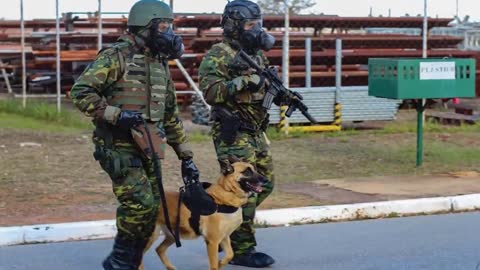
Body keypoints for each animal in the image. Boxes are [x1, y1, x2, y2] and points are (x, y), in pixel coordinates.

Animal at [142, 161, 270, 268]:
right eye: (247, 171)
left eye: (254, 169)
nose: (266, 180)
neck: (226, 192)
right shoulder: (212, 242)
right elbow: (214, 265)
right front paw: (218, 264)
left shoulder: (224, 237)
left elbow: (230, 255)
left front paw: (221, 263)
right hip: (151, 236)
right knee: (140, 255)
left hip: (173, 235)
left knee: (159, 249)